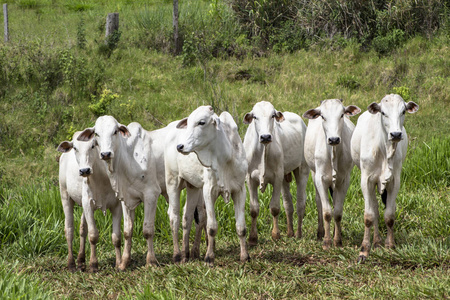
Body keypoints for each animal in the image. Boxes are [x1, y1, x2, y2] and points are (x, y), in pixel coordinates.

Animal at [57, 131, 121, 272]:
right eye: (75, 148)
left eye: (93, 146)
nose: (84, 170)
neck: (102, 178)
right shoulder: (88, 204)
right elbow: (93, 235)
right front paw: (93, 264)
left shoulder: (116, 205)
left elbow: (116, 237)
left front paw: (119, 263)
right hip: (65, 195)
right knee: (69, 229)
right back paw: (71, 263)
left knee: (82, 228)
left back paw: (81, 260)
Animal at [174, 106, 250, 266]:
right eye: (188, 122)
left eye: (201, 122)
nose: (180, 146)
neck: (225, 157)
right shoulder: (209, 191)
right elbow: (212, 227)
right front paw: (209, 257)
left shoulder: (240, 190)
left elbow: (241, 227)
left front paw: (245, 256)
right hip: (175, 182)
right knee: (180, 218)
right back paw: (183, 255)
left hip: (193, 187)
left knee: (193, 216)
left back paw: (193, 252)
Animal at [243, 101, 312, 244]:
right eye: (255, 117)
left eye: (273, 116)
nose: (265, 137)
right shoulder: (250, 179)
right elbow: (254, 209)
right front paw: (252, 238)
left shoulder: (277, 177)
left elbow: (274, 208)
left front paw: (275, 234)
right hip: (284, 177)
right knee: (288, 204)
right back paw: (290, 232)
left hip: (301, 170)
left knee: (300, 203)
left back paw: (298, 233)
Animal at [304, 99, 360, 250]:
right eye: (323, 116)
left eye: (342, 115)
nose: (334, 139)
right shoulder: (320, 179)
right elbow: (327, 212)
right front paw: (326, 241)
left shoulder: (344, 180)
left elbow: (338, 212)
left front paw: (337, 240)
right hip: (314, 174)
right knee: (319, 202)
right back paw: (320, 233)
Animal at [352, 94, 418, 262]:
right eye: (383, 113)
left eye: (403, 111)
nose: (396, 134)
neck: (384, 149)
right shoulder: (366, 180)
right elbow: (369, 216)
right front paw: (364, 250)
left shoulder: (395, 181)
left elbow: (389, 215)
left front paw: (390, 246)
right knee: (374, 208)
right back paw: (375, 241)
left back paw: (378, 243)